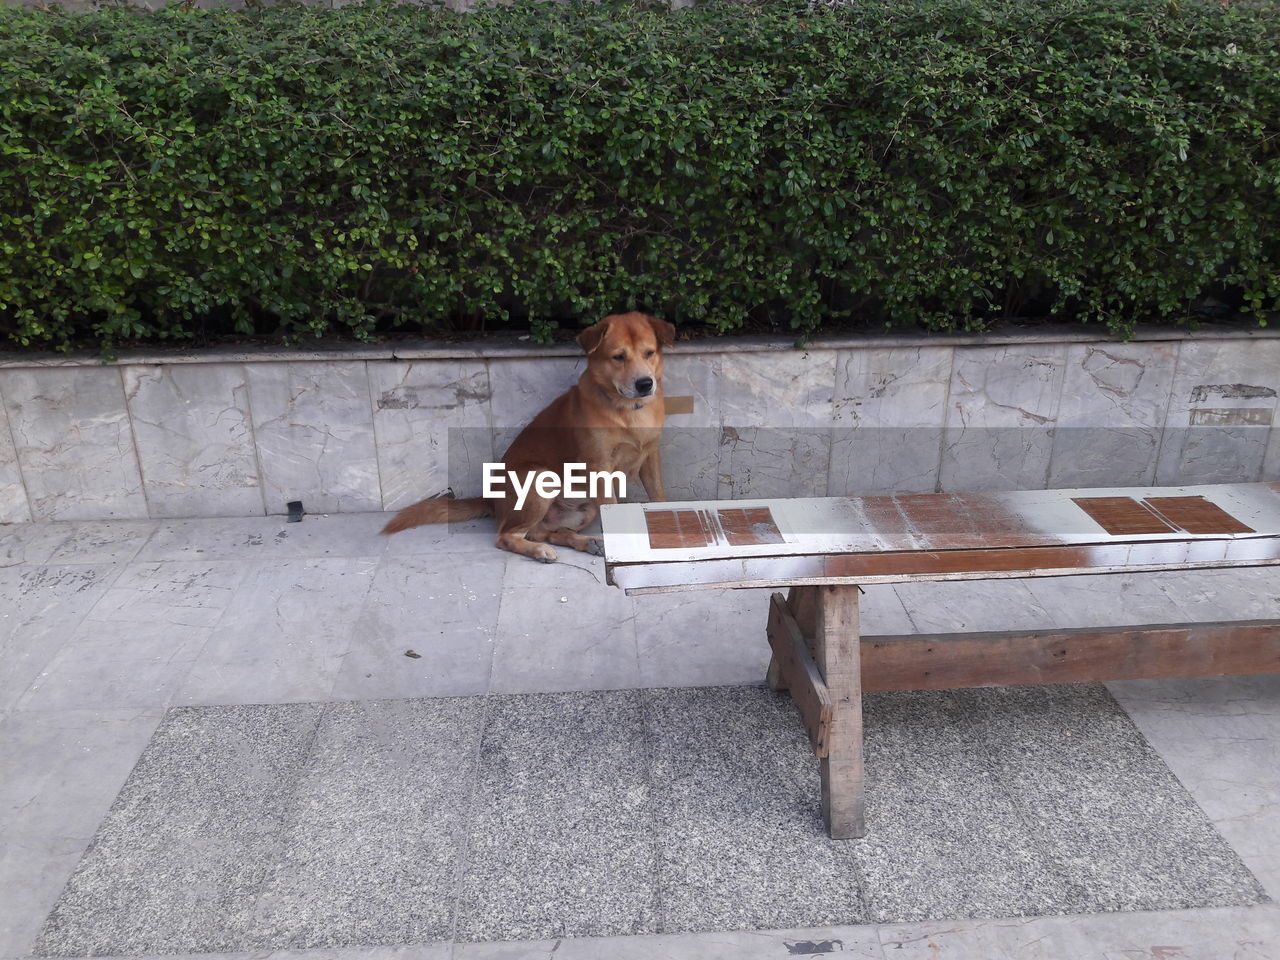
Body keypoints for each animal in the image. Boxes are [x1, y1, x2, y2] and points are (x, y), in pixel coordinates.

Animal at [378, 312, 675, 560]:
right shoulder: (600, 467)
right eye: (618, 357)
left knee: (549, 532)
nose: (645, 384)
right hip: (539, 478)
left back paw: (585, 542)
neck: (628, 411)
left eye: (649, 353)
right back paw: (539, 550)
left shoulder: (650, 456)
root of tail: (491, 498)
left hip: (583, 508)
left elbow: (658, 495)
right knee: (506, 536)